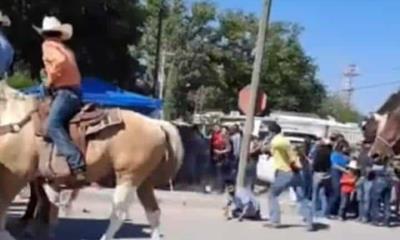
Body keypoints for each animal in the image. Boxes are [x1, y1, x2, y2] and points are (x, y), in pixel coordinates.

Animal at [0, 81, 184, 240]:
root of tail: (156, 123)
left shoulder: (16, 175)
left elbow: (4, 207)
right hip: (143, 182)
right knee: (153, 213)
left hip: (128, 177)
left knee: (119, 214)